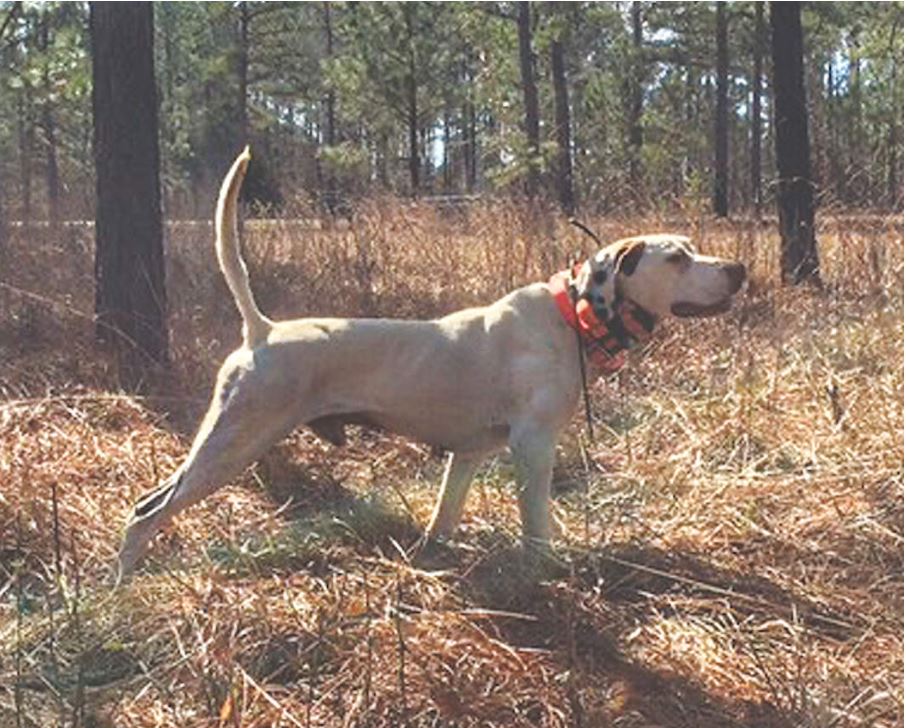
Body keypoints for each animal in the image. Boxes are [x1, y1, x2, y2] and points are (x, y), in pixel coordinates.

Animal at [116, 148, 744, 576]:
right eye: (677, 257)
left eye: (693, 250)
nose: (738, 270)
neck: (573, 319)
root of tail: (261, 330)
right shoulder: (532, 446)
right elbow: (537, 528)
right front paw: (544, 574)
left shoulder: (468, 455)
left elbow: (445, 516)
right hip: (233, 444)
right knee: (144, 516)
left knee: (147, 504)